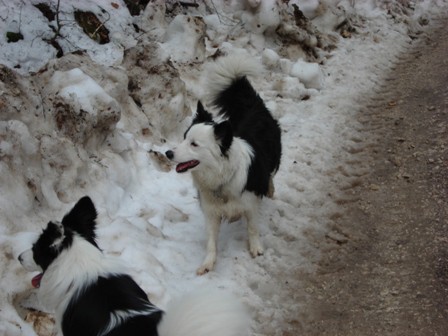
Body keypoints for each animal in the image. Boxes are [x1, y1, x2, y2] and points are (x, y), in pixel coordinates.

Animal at [166, 55, 282, 276]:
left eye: (194, 144)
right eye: (184, 138)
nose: (168, 153)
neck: (221, 177)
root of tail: (254, 107)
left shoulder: (251, 203)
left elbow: (253, 227)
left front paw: (256, 248)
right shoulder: (211, 211)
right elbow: (211, 241)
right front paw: (208, 263)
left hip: (275, 157)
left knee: (271, 174)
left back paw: (270, 189)